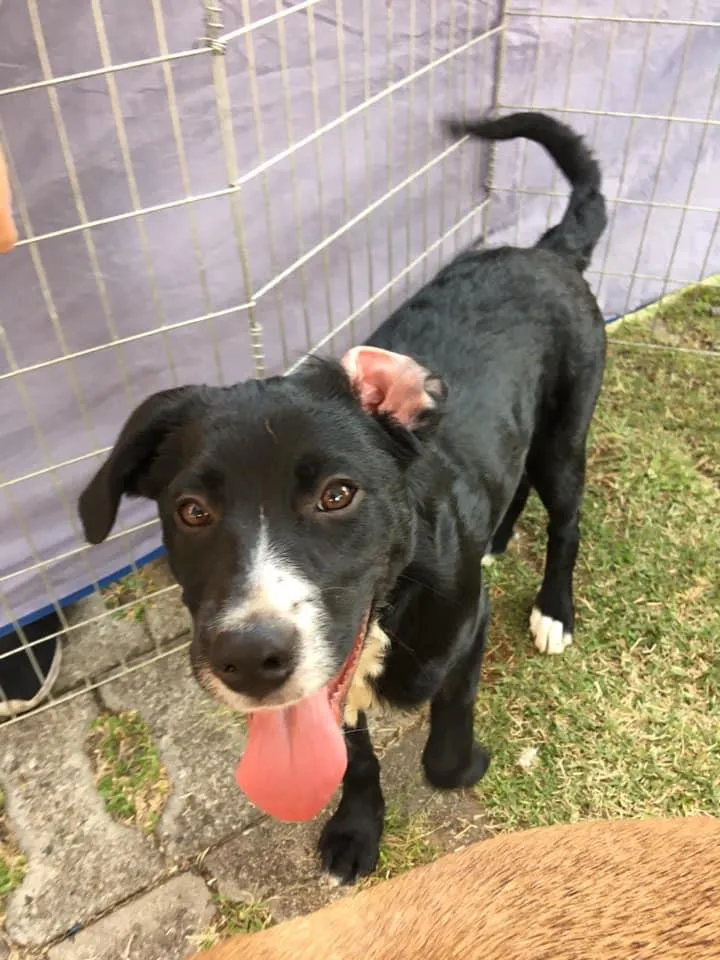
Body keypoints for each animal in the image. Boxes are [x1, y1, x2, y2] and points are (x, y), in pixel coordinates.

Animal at [78, 111, 607, 884]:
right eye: (192, 512)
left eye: (337, 495)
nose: (249, 658)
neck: (395, 599)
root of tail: (545, 251)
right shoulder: (328, 685)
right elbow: (352, 759)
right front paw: (357, 829)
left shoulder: (464, 629)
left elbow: (446, 742)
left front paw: (463, 765)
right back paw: (497, 540)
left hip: (563, 439)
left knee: (567, 521)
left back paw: (553, 611)